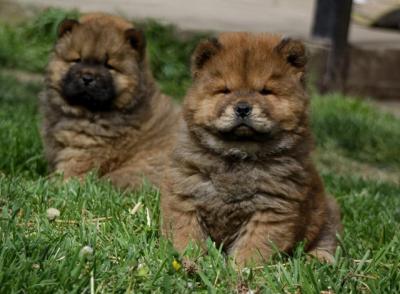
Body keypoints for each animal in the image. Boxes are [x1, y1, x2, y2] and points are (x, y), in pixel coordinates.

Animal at [161, 32, 342, 266]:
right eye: (225, 90)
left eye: (265, 91)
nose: (242, 107)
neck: (238, 154)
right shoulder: (185, 196)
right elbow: (187, 233)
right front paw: (192, 261)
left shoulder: (271, 209)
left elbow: (254, 245)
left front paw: (240, 270)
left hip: (327, 211)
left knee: (326, 239)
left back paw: (319, 258)